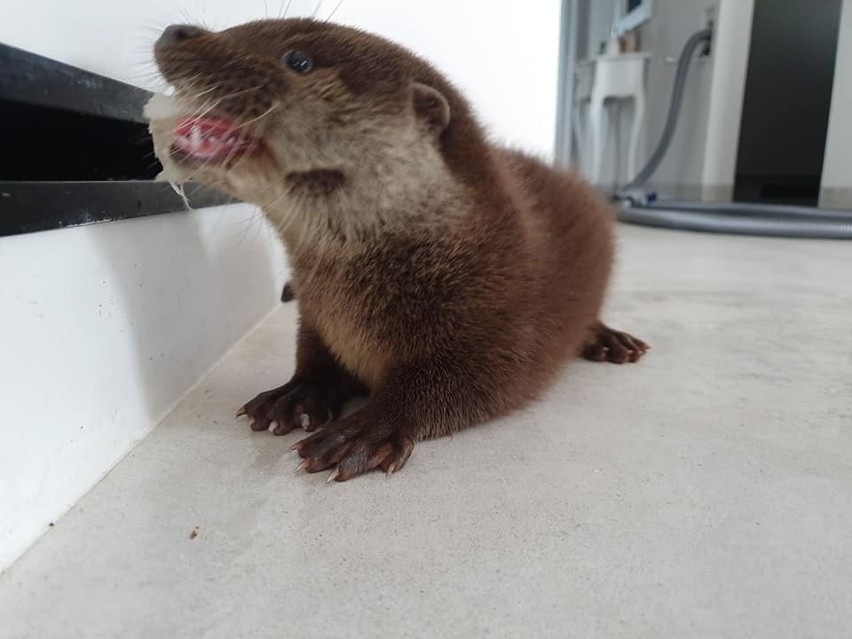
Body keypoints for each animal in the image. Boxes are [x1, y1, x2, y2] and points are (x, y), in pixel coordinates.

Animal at [150, 18, 648, 480]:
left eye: (298, 60)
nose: (176, 30)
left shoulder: (507, 321)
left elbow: (470, 384)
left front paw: (364, 430)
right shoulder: (316, 317)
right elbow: (314, 355)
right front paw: (295, 394)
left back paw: (611, 340)